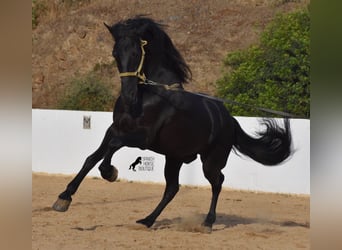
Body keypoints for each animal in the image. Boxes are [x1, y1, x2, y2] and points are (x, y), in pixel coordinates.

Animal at [52, 16, 292, 231]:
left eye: (136, 53)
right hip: (174, 157)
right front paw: (63, 198)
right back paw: (147, 221)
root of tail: (229, 120)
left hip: (210, 161)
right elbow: (91, 158)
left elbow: (110, 149)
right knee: (173, 188)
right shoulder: (115, 129)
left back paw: (207, 223)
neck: (149, 94)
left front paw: (110, 172)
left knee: (217, 182)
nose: (129, 96)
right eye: (115, 54)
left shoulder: (141, 138)